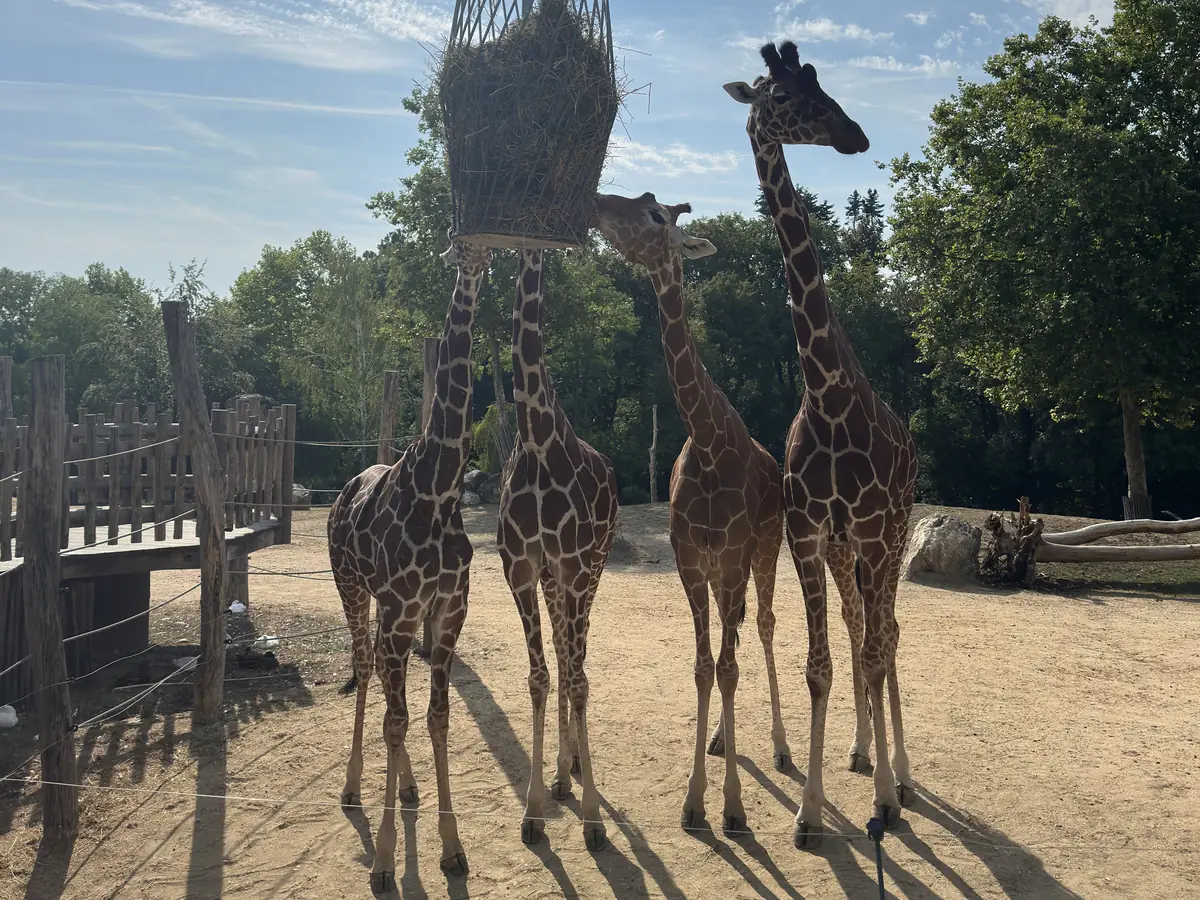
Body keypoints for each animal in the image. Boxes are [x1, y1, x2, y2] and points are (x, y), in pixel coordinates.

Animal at [593, 191, 790, 836]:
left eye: (657, 216)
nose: (597, 204)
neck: (707, 441)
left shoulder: (729, 560)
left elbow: (727, 667)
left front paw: (731, 808)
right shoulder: (690, 565)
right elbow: (706, 667)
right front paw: (694, 801)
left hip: (767, 549)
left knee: (763, 626)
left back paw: (781, 745)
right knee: (736, 637)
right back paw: (723, 741)